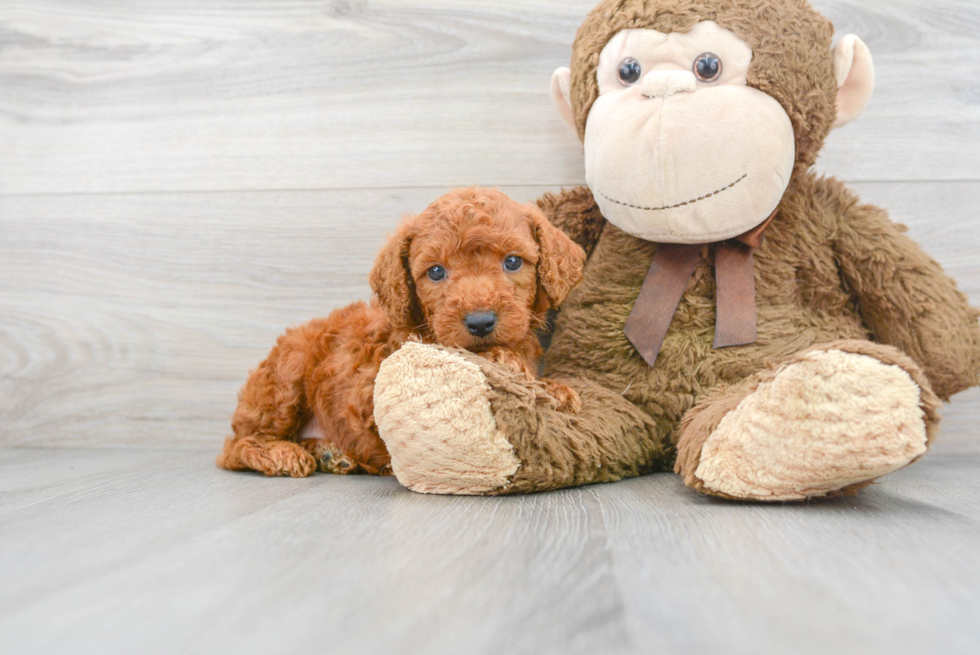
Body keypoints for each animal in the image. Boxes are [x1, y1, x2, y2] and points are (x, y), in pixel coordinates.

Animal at [218, 187, 584, 480]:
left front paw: (555, 389)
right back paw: (281, 454)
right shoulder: (375, 387)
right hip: (285, 378)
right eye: (435, 272)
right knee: (235, 446)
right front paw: (503, 358)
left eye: (512, 262)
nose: (480, 322)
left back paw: (329, 453)